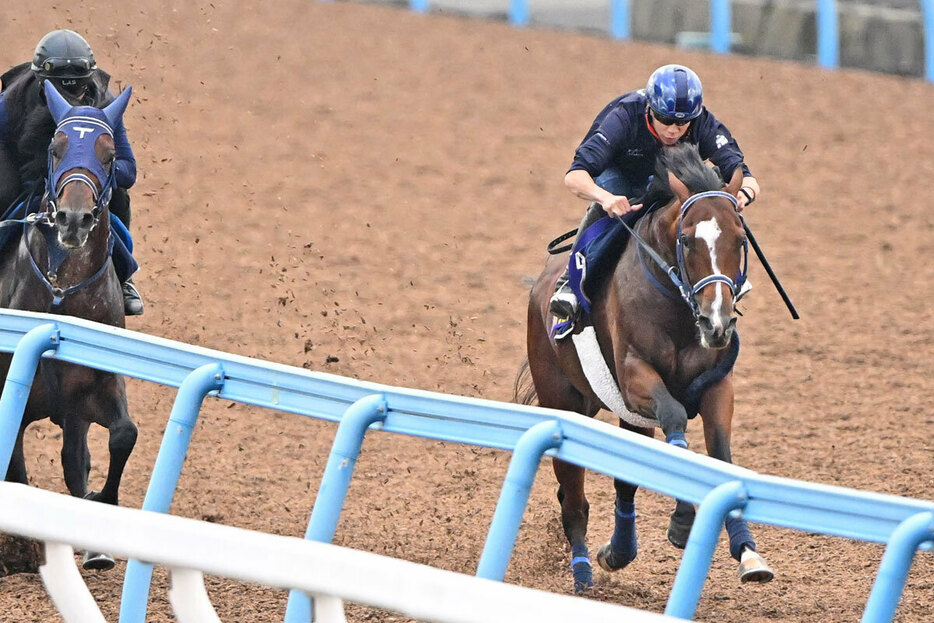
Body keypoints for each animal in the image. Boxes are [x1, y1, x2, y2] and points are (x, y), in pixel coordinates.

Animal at [0, 81, 138, 572]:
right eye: (55, 148)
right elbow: (15, 465)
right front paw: (20, 548)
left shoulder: (96, 386)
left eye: (110, 153)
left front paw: (100, 510)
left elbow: (121, 437)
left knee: (73, 456)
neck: (62, 295)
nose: (74, 219)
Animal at [520, 144, 776, 596]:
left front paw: (748, 552)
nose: (717, 323)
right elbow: (675, 420)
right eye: (687, 240)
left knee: (624, 481)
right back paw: (583, 574)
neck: (678, 308)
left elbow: (720, 456)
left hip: (628, 415)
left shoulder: (716, 386)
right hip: (564, 402)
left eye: (740, 238)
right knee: (574, 498)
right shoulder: (637, 377)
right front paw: (683, 521)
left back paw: (618, 552)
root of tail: (541, 286)